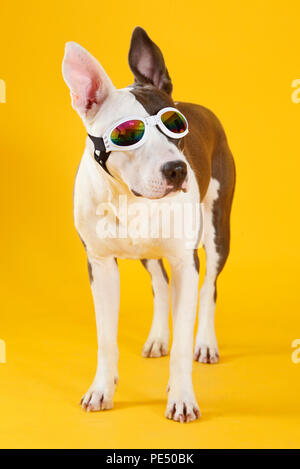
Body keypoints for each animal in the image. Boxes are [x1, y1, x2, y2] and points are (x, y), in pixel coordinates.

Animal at [62, 26, 236, 420]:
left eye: (175, 126)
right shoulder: (100, 265)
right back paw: (158, 338)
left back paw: (206, 342)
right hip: (148, 253)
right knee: (159, 284)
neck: (129, 198)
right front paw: (101, 389)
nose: (177, 170)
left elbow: (184, 338)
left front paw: (182, 397)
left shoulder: (187, 262)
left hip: (218, 230)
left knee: (209, 289)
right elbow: (106, 338)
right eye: (128, 134)